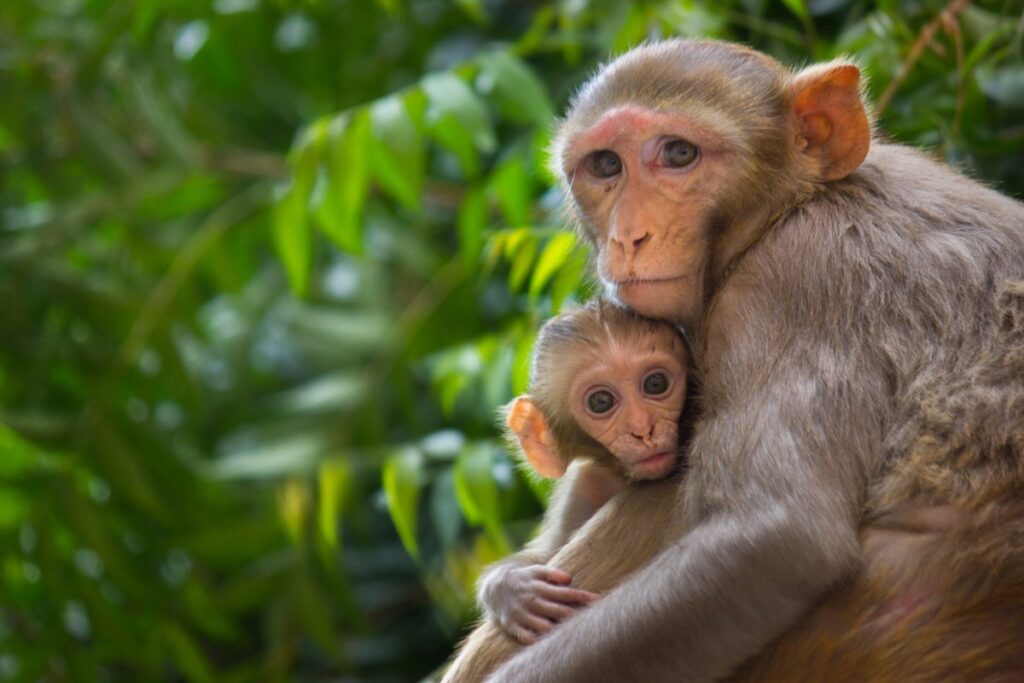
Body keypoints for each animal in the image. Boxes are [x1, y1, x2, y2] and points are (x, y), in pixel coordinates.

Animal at [477, 298, 690, 646]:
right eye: (601, 401)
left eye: (656, 384)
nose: (643, 429)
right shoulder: (584, 485)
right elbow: (550, 553)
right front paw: (511, 590)